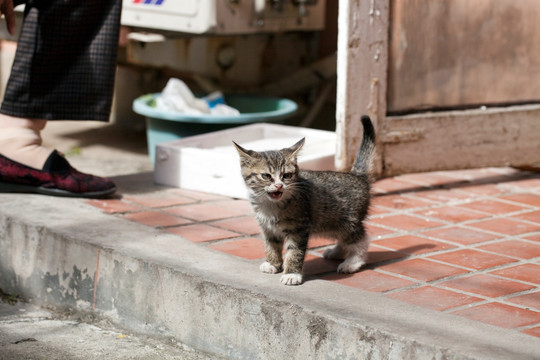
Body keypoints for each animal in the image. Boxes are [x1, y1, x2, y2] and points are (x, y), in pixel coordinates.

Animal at [232, 116, 376, 286]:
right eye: (266, 176)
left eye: (287, 175)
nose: (279, 185)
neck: (270, 204)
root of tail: (357, 176)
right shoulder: (267, 227)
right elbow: (271, 245)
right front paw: (272, 263)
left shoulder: (299, 228)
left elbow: (295, 252)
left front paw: (291, 274)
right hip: (329, 221)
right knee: (344, 238)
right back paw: (336, 252)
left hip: (347, 221)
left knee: (361, 239)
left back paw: (353, 262)